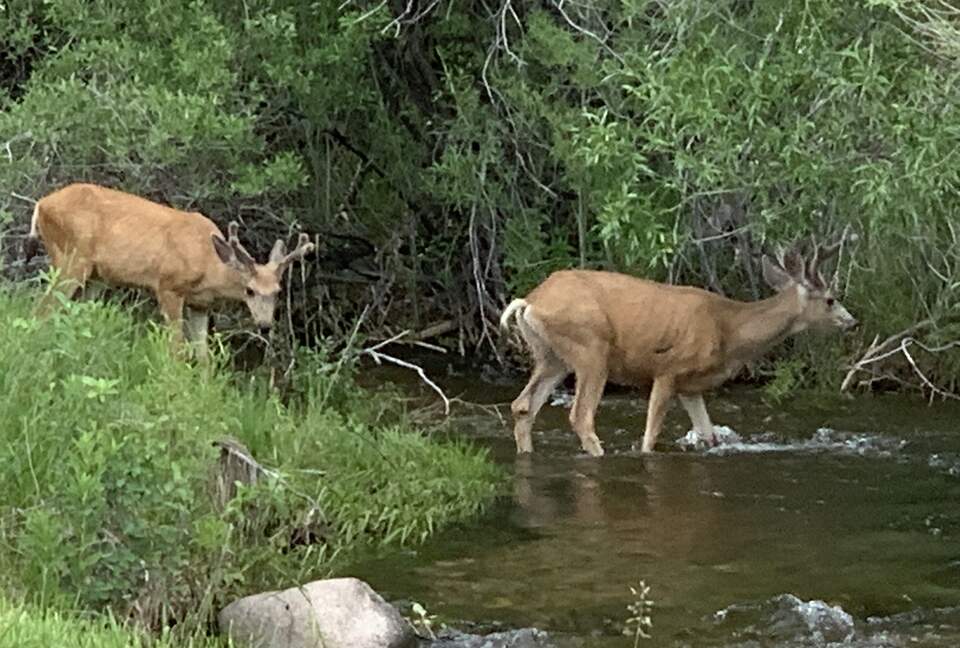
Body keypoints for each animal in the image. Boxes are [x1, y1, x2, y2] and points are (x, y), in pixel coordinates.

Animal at [24, 183, 315, 358]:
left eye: (277, 291)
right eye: (250, 290)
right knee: (43, 308)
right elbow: (177, 346)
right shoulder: (168, 286)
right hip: (71, 257)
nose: (265, 325)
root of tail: (41, 204)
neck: (208, 263)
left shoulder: (201, 304)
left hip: (95, 276)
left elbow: (203, 354)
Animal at [500, 234, 858, 456]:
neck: (729, 330)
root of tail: (530, 302)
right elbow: (650, 437)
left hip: (552, 357)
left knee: (522, 406)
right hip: (591, 348)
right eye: (830, 299)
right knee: (580, 415)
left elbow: (709, 435)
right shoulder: (668, 370)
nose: (852, 321)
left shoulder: (691, 387)